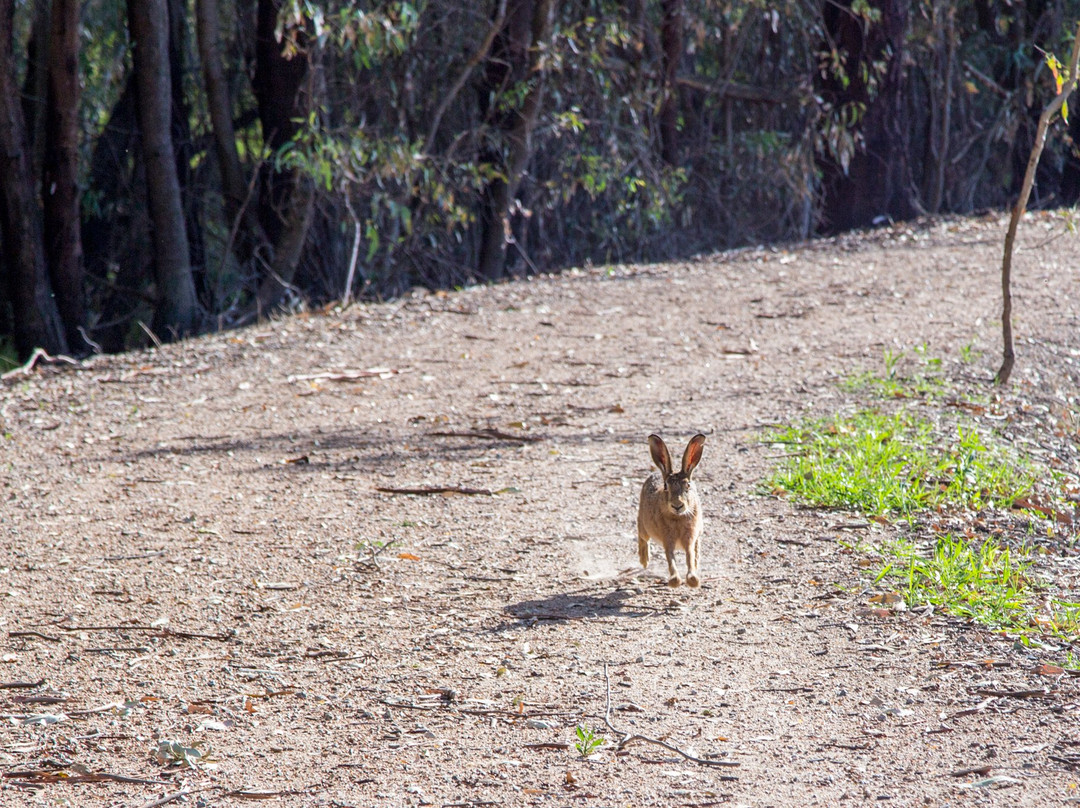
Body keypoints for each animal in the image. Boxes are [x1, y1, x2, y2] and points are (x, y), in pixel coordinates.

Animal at [635, 436, 704, 587]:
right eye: (666, 486)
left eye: (688, 486)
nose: (677, 505)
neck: (678, 518)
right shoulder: (667, 540)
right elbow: (670, 558)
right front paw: (675, 581)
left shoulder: (689, 537)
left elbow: (690, 555)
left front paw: (693, 579)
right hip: (644, 527)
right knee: (642, 537)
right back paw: (644, 560)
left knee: (696, 548)